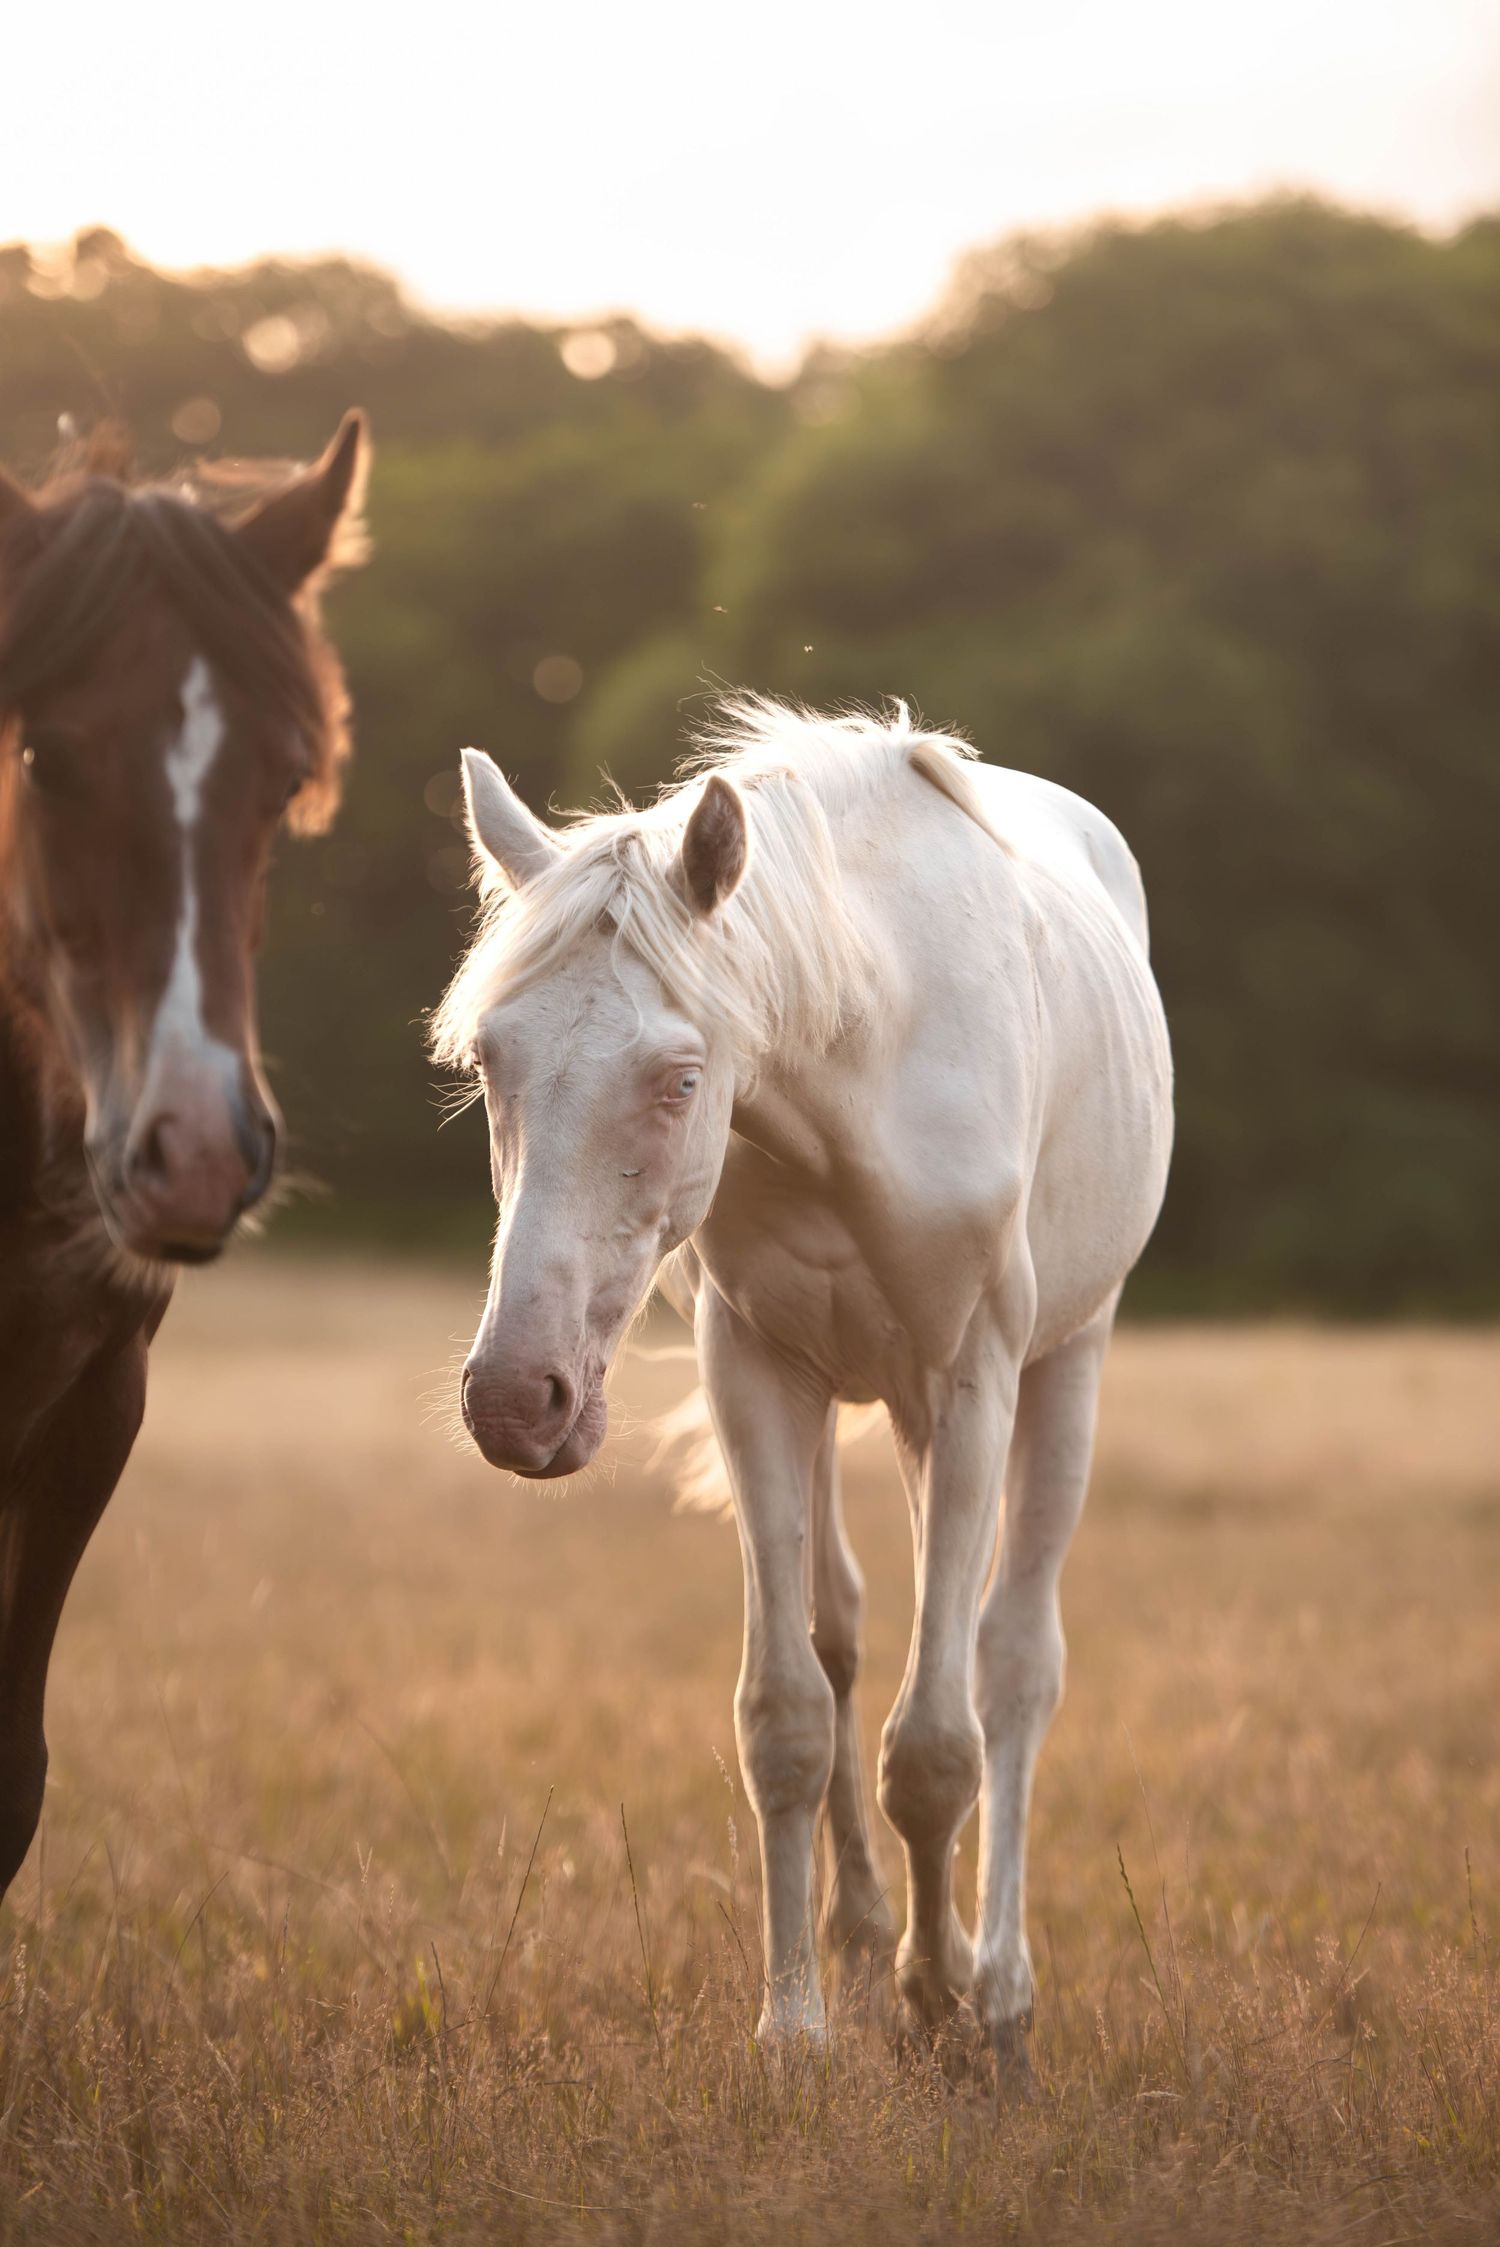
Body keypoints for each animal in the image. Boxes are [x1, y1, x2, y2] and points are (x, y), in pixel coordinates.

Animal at [431, 697, 1173, 2074]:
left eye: (679, 1079)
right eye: (492, 1061)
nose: (515, 1400)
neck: (864, 1062)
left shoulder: (973, 1378)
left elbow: (937, 1745)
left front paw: (946, 1999)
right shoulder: (760, 1374)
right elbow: (786, 1716)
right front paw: (798, 2024)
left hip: (1059, 1370)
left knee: (1010, 1667)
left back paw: (997, 1986)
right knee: (848, 1640)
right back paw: (874, 1943)